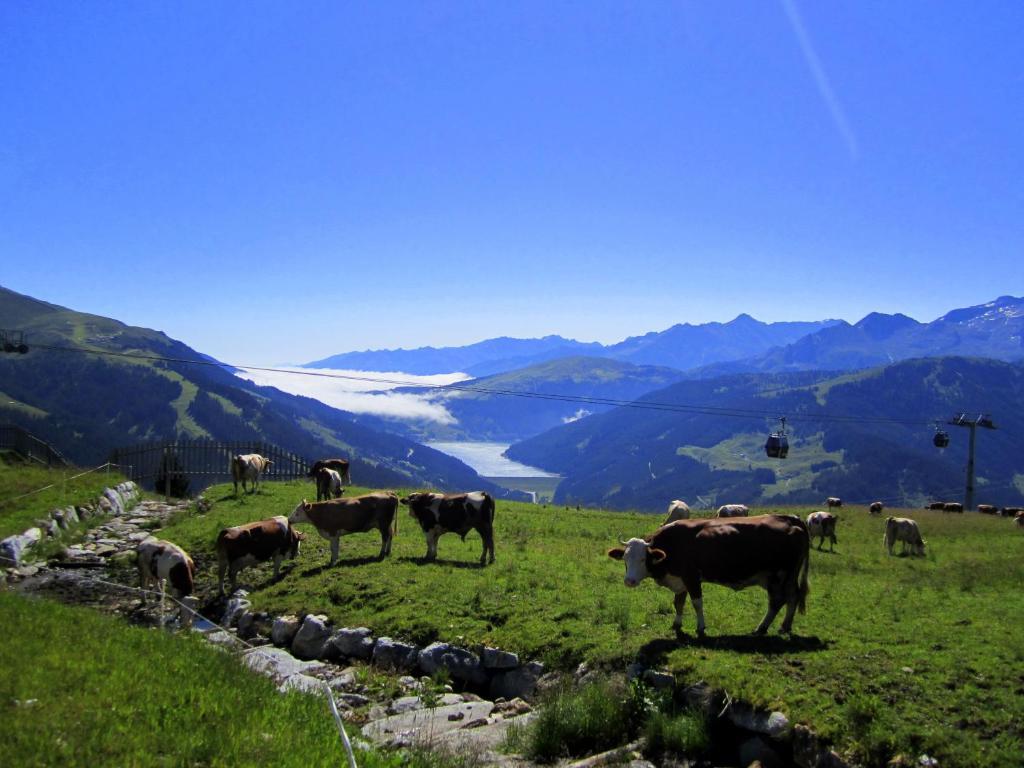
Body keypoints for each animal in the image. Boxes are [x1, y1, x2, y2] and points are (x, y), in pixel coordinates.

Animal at [602, 518, 811, 638]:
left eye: (643, 559)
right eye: (625, 558)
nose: (629, 581)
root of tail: (794, 521)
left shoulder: (692, 576)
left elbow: (697, 603)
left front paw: (701, 627)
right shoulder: (681, 580)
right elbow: (678, 603)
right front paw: (676, 624)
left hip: (777, 574)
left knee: (778, 600)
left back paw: (762, 628)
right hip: (787, 576)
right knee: (793, 596)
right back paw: (785, 626)